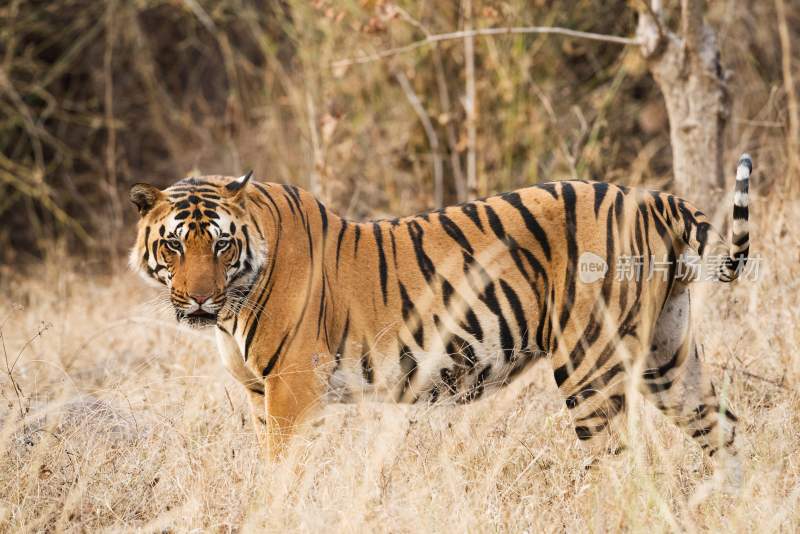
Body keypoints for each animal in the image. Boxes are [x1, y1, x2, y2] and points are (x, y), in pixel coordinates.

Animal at [130, 155, 752, 478]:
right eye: (174, 246)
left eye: (221, 245)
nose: (199, 300)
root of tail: (651, 198)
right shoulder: (261, 393)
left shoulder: (292, 388)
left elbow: (282, 473)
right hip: (667, 355)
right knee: (723, 428)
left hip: (589, 365)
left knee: (620, 466)